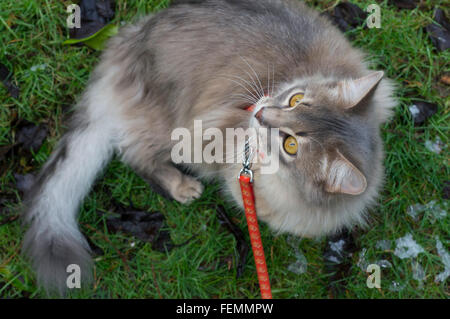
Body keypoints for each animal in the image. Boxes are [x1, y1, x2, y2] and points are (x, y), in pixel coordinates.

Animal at [22, 0, 394, 296]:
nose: (261, 113)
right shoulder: (210, 133)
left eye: (290, 145)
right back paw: (181, 186)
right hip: (168, 124)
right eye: (295, 99)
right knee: (134, 152)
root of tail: (128, 40)